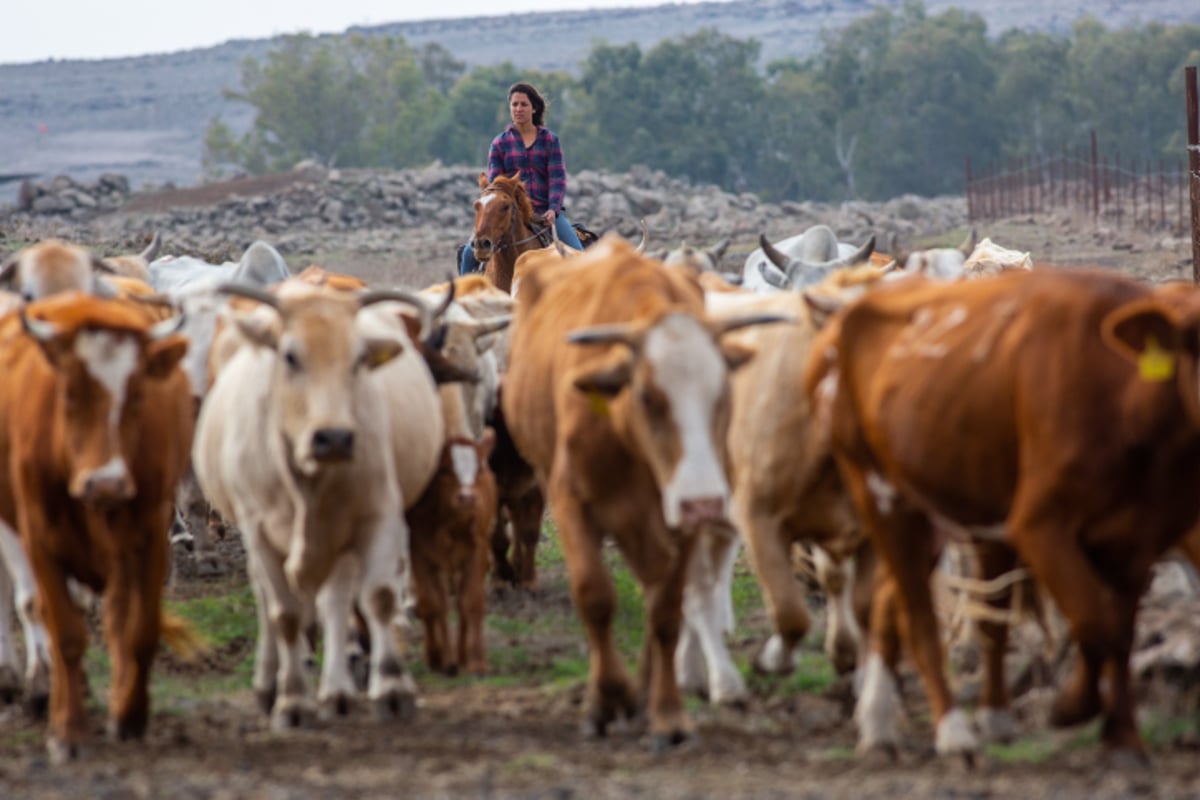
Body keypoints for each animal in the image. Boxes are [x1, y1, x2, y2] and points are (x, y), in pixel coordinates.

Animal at [0, 291, 194, 762]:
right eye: (69, 392)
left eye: (139, 393)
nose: (105, 482)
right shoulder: (37, 536)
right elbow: (62, 628)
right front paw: (67, 730)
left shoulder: (148, 533)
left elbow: (137, 627)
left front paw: (129, 713)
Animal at [499, 235, 787, 748]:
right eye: (648, 396)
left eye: (723, 393)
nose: (705, 503)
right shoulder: (572, 503)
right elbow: (595, 596)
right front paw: (606, 700)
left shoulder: (681, 517)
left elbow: (668, 611)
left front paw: (667, 712)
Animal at [816, 271, 1200, 762]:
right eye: (1194, 343)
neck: (1126, 398)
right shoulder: (1039, 527)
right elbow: (1095, 623)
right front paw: (1071, 708)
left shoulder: (1136, 539)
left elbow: (1120, 633)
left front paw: (1123, 736)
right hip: (879, 493)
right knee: (917, 616)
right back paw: (951, 731)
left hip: (936, 512)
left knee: (890, 600)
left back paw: (885, 723)